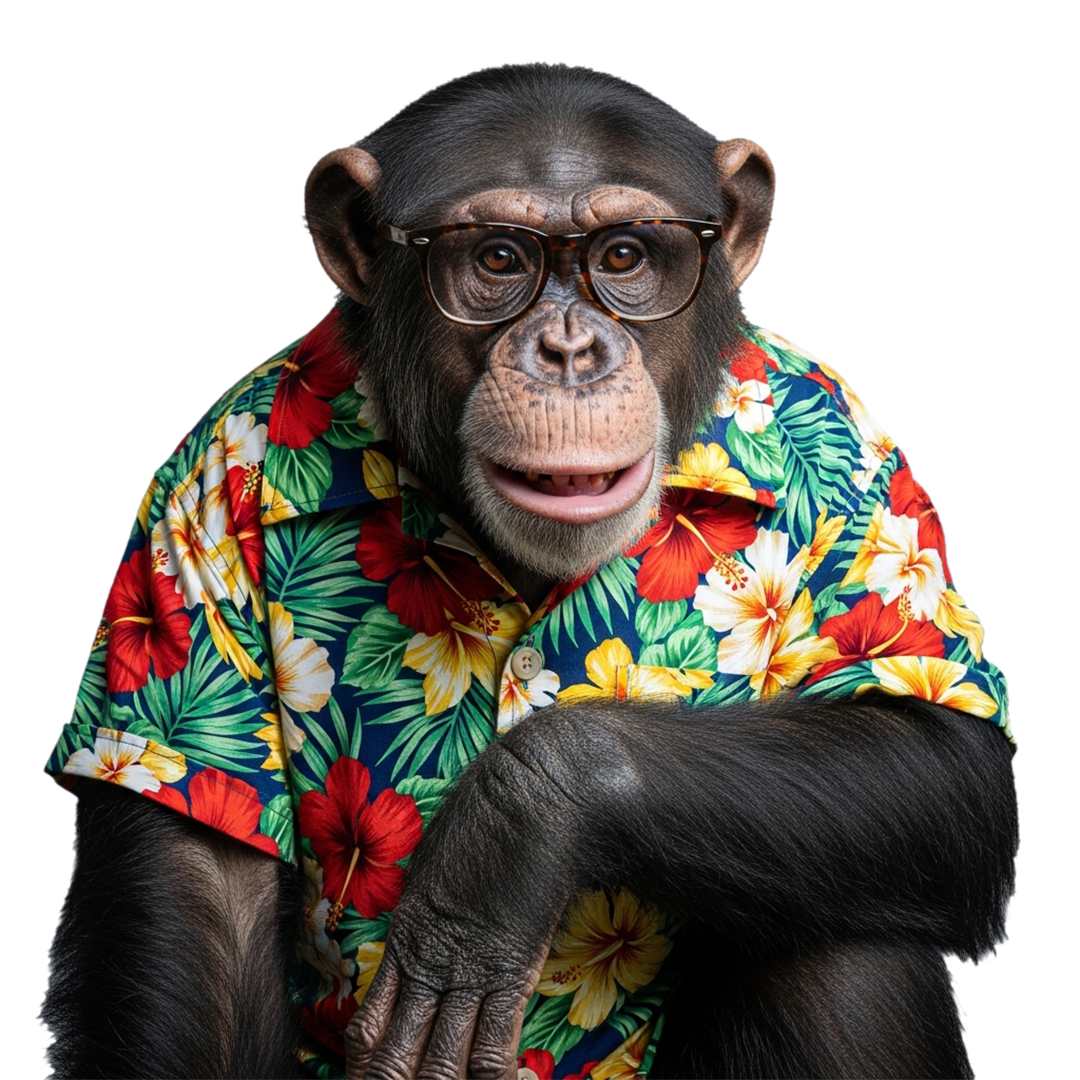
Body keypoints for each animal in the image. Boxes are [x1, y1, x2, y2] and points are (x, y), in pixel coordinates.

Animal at [40, 65, 1017, 1080]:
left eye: (624, 255)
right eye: (500, 259)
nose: (569, 349)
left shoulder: (861, 456)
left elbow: (940, 746)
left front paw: (508, 843)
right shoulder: (188, 514)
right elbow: (203, 892)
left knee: (843, 931)